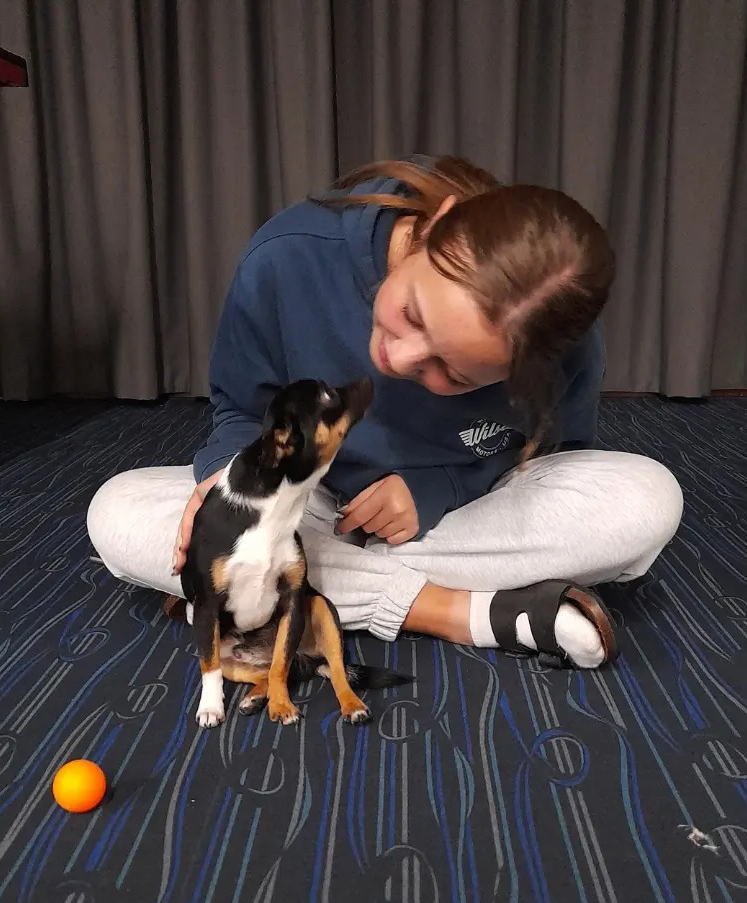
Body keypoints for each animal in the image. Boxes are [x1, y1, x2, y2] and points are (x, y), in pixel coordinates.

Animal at [175, 378, 410, 732]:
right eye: (328, 395)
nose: (368, 378)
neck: (278, 507)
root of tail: (307, 659)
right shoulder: (206, 607)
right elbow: (210, 667)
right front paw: (211, 707)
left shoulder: (293, 600)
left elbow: (280, 666)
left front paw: (282, 706)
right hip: (229, 651)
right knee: (253, 672)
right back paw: (254, 698)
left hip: (322, 610)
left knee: (332, 671)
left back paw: (350, 705)